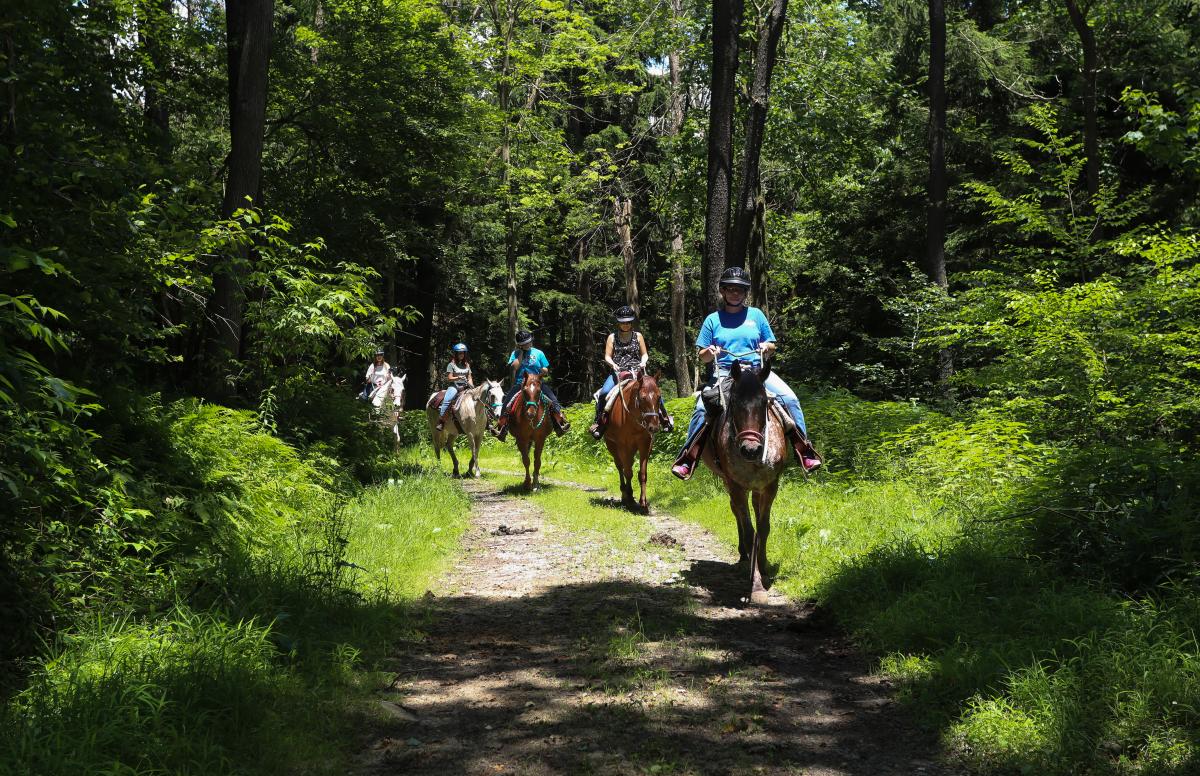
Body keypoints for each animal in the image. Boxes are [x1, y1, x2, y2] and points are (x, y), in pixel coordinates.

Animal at [600, 369, 667, 513]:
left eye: (659, 397)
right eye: (642, 398)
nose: (654, 427)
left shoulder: (645, 445)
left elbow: (642, 474)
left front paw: (643, 503)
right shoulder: (623, 445)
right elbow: (628, 472)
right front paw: (630, 497)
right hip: (612, 445)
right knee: (620, 467)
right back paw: (624, 494)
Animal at [700, 357, 792, 606]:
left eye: (764, 403)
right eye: (734, 403)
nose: (751, 450)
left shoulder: (770, 486)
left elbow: (763, 527)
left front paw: (763, 565)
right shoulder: (736, 486)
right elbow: (750, 532)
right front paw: (756, 586)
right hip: (729, 483)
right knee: (737, 513)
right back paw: (743, 556)